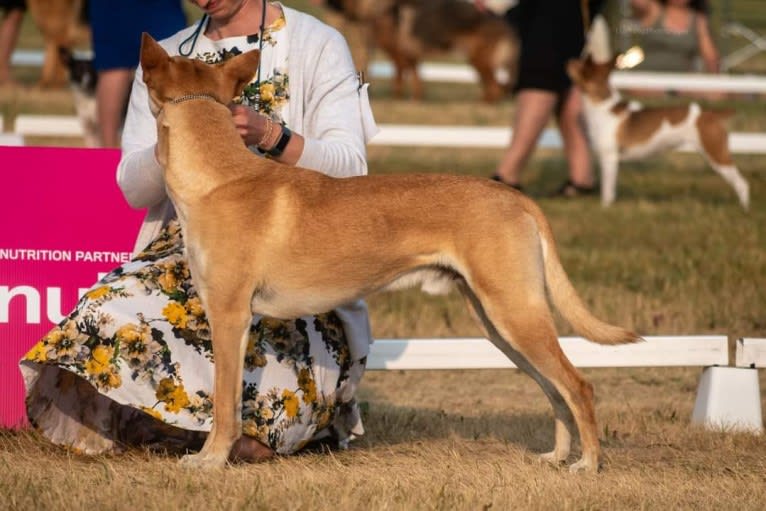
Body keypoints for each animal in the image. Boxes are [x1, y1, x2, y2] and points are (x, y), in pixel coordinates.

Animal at [140, 32, 640, 474]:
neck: (220, 178)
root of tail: (517, 198)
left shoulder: (229, 317)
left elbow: (225, 406)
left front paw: (209, 461)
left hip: (515, 314)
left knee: (578, 386)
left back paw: (588, 464)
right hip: (500, 325)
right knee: (554, 390)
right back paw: (558, 456)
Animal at [568, 55, 752, 209]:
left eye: (579, 64)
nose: (567, 61)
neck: (603, 107)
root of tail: (709, 114)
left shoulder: (609, 158)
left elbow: (608, 189)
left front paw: (605, 207)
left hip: (717, 154)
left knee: (742, 183)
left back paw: (744, 209)